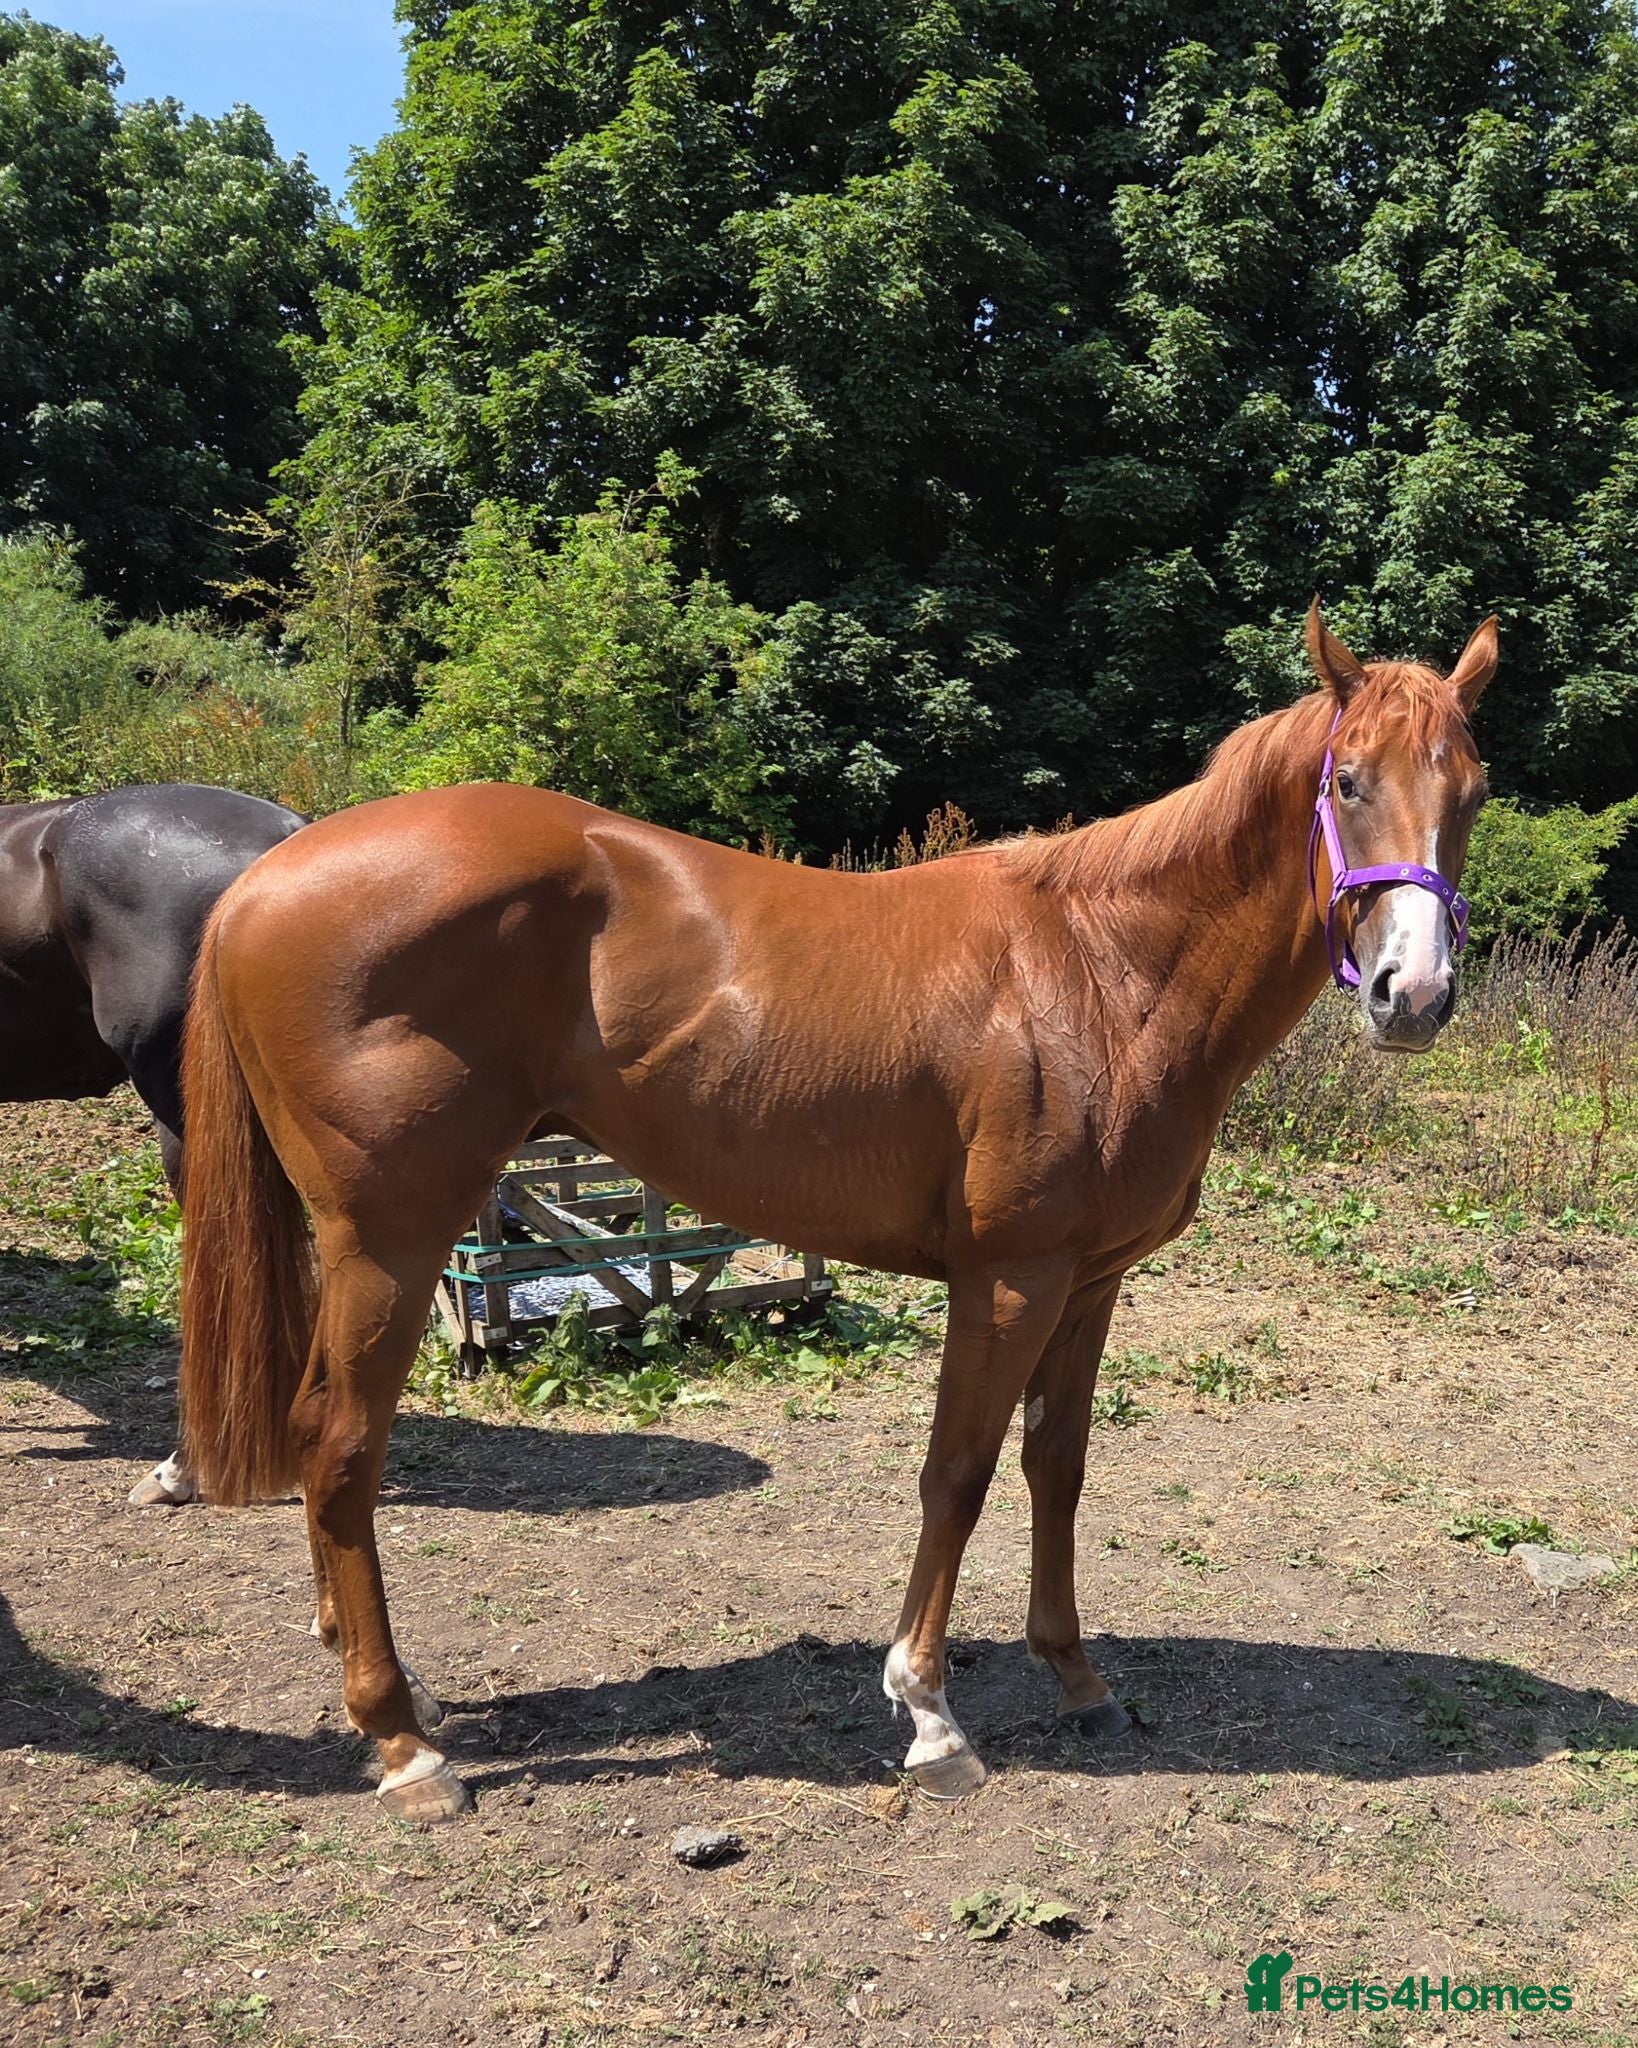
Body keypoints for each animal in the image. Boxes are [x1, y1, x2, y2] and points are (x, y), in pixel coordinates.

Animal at [177, 605, 1495, 1820]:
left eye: (1472, 790)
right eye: (1347, 779)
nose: (1415, 993)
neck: (1100, 969)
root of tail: (256, 884)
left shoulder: (1093, 1277)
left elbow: (1057, 1465)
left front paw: (1075, 1674)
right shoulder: (1011, 1275)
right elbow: (958, 1470)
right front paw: (929, 1711)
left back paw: (387, 1689)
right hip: (388, 1243)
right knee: (341, 1444)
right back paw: (401, 1740)